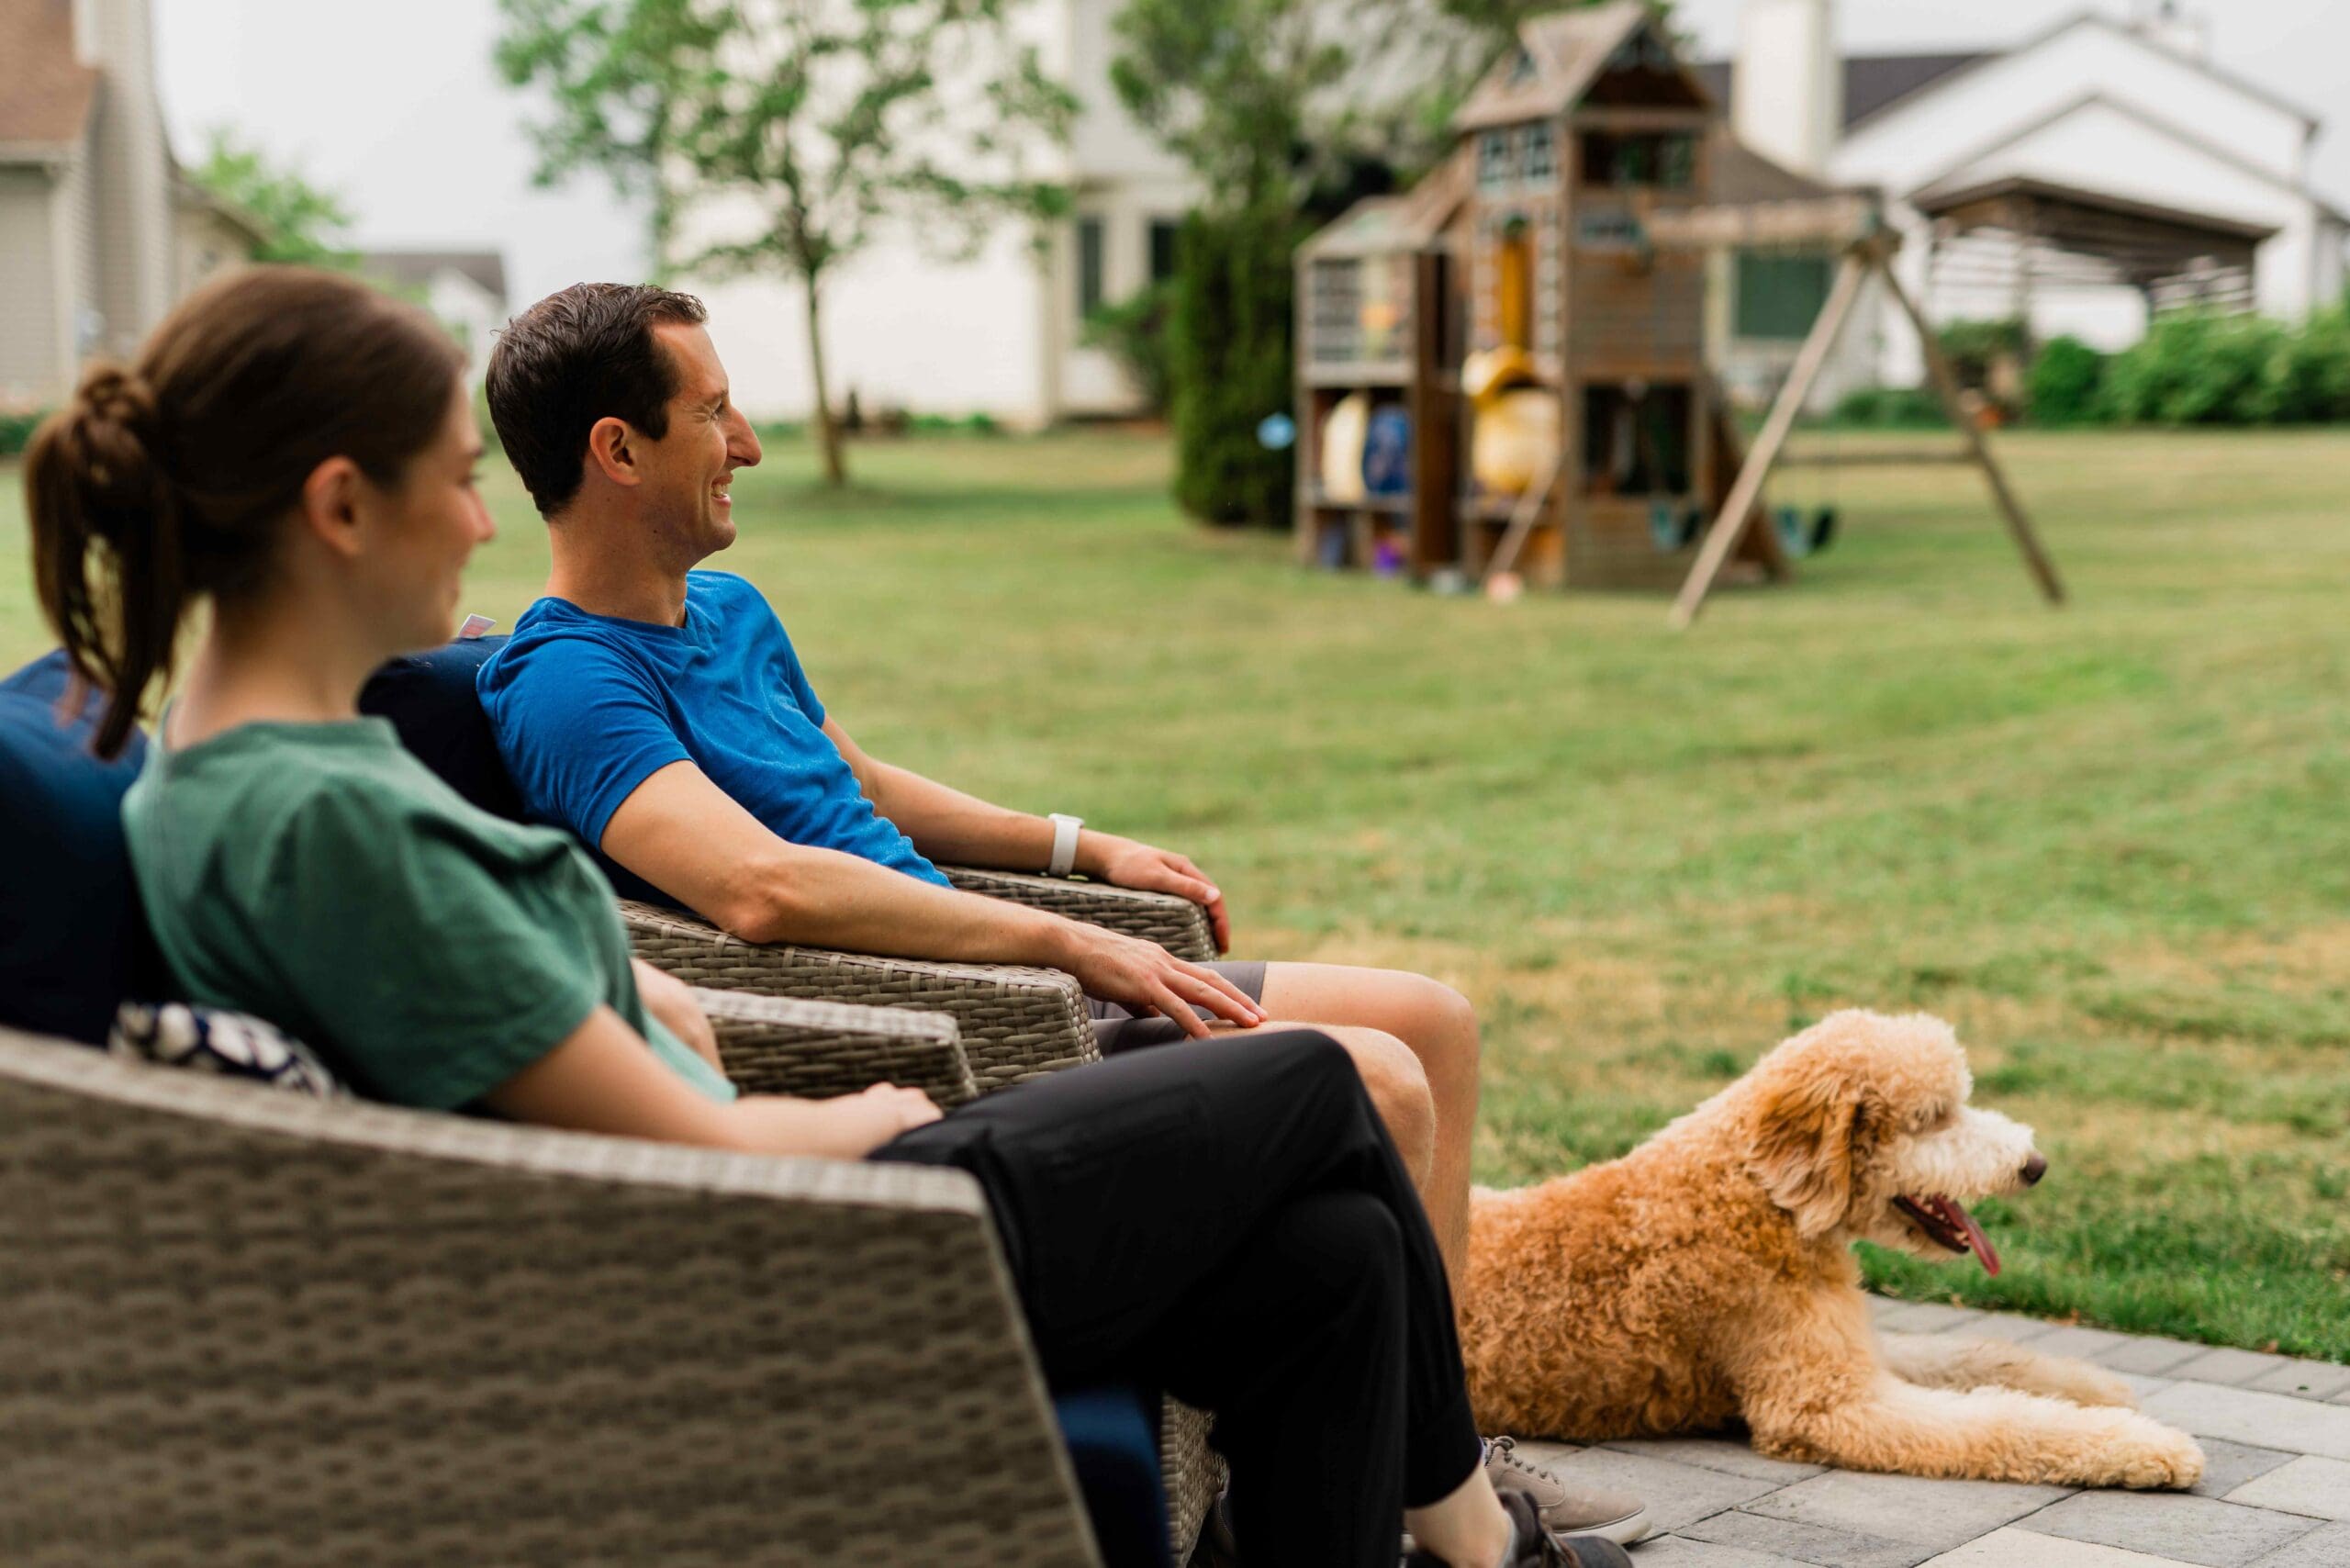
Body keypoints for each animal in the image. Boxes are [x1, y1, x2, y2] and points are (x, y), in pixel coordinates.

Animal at [1457, 1011, 2209, 1495]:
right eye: (1932, 1117)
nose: (2036, 1165)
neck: (1762, 1199)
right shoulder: (1826, 1403)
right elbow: (2000, 1420)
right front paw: (2145, 1446)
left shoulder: (1853, 1346)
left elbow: (1974, 1357)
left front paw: (2093, 1386)